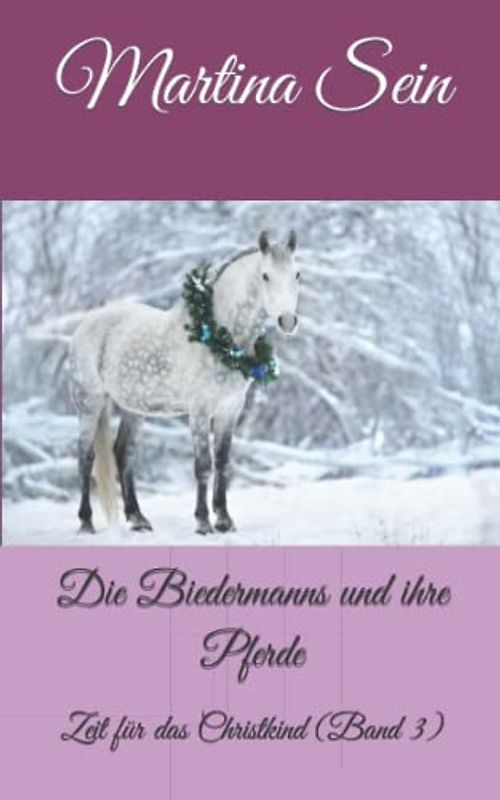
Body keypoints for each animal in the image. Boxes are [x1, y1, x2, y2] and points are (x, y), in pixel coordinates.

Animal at [70, 230, 300, 535]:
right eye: (265, 275)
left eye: (297, 274)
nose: (287, 321)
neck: (215, 335)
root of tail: (86, 323)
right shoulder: (200, 411)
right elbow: (203, 465)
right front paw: (203, 522)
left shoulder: (230, 410)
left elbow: (222, 462)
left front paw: (224, 520)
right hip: (90, 403)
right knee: (86, 458)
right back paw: (86, 522)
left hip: (134, 409)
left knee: (123, 453)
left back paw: (137, 518)